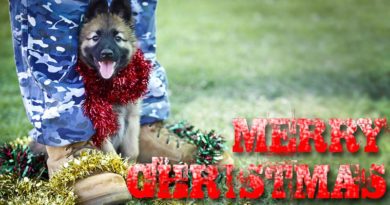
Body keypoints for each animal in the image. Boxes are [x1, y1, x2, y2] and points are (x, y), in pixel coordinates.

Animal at [78, 0, 139, 160]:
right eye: (95, 38)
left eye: (117, 38)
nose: (107, 54)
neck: (110, 86)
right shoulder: (99, 127)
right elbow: (111, 153)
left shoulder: (132, 118)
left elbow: (132, 151)